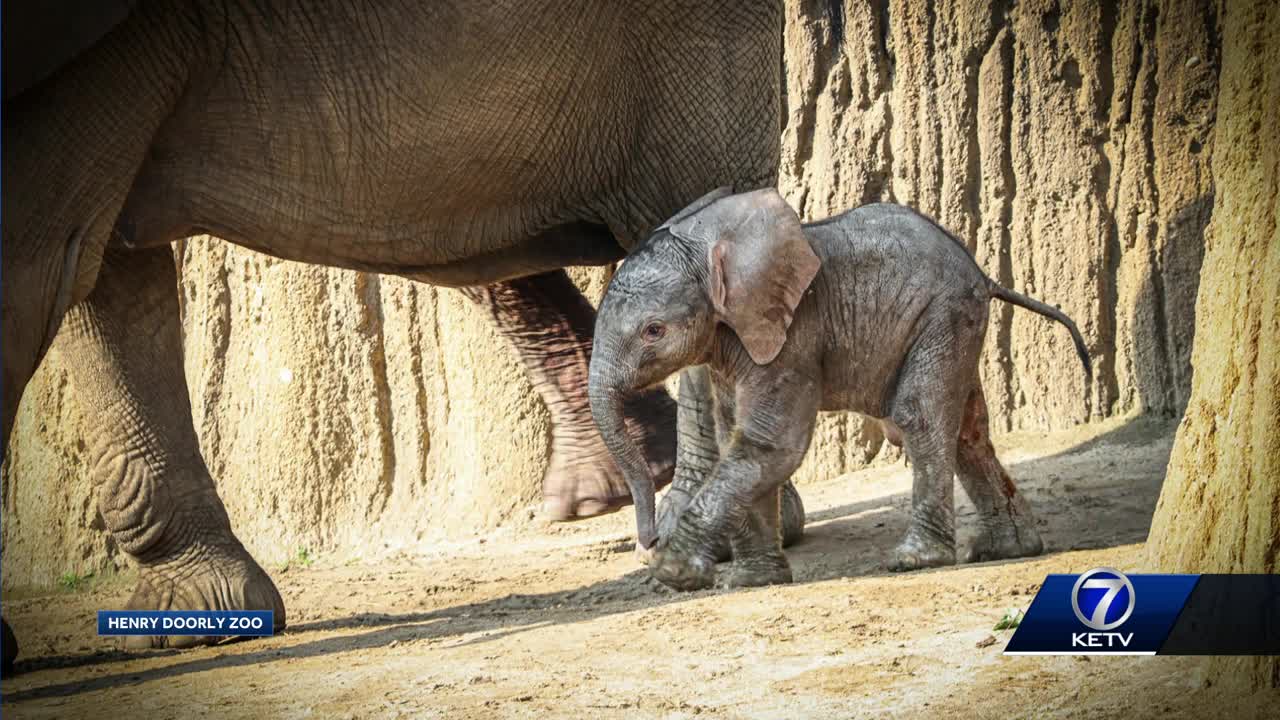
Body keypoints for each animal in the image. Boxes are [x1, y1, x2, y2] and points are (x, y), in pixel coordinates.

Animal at [588, 184, 1090, 589]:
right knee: (969, 431)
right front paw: (751, 581)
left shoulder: (795, 334)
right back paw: (1008, 549)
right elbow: (740, 437)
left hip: (944, 313)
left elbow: (773, 443)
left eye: (653, 331)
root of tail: (983, 274)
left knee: (919, 416)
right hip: (953, 320)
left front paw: (674, 572)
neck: (708, 244)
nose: (648, 539)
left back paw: (916, 560)